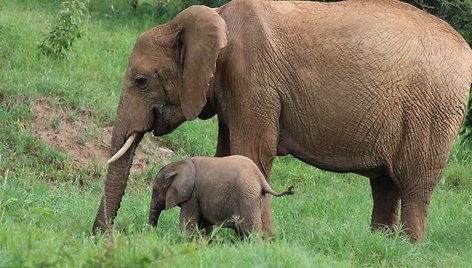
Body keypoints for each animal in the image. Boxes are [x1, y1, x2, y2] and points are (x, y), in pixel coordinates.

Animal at [149, 155, 294, 237]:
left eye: (155, 190)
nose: (152, 235)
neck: (180, 163)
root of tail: (260, 178)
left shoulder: (193, 195)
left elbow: (188, 222)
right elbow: (202, 225)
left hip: (247, 197)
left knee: (250, 231)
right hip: (258, 198)